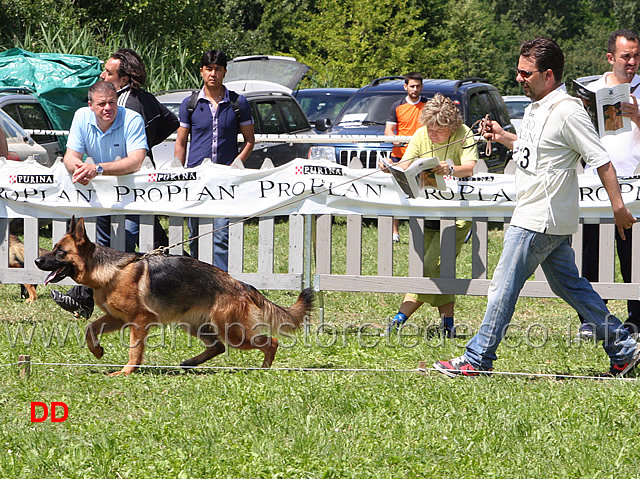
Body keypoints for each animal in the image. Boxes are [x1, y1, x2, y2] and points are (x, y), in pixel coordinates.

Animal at [35, 218, 316, 378]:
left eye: (60, 252)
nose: (37, 261)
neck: (111, 270)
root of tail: (242, 284)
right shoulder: (117, 319)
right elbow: (89, 329)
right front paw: (97, 351)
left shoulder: (139, 321)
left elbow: (134, 351)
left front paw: (127, 372)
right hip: (195, 326)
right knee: (218, 346)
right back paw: (191, 363)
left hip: (233, 332)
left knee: (270, 342)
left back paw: (264, 367)